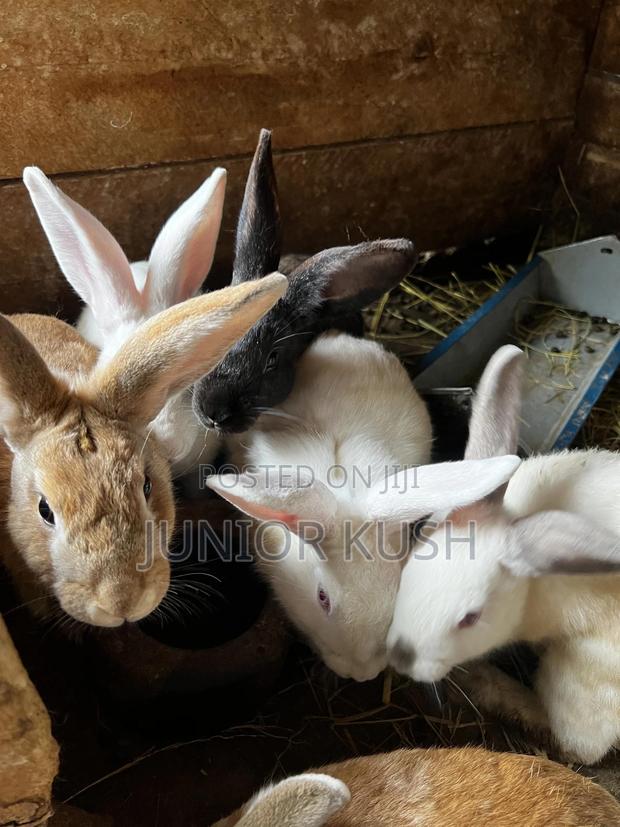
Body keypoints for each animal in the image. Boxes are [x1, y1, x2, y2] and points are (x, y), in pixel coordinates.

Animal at [387, 344, 620, 763]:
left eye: (471, 618)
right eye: (408, 571)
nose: (401, 658)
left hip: (580, 678)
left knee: (573, 743)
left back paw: (486, 684)